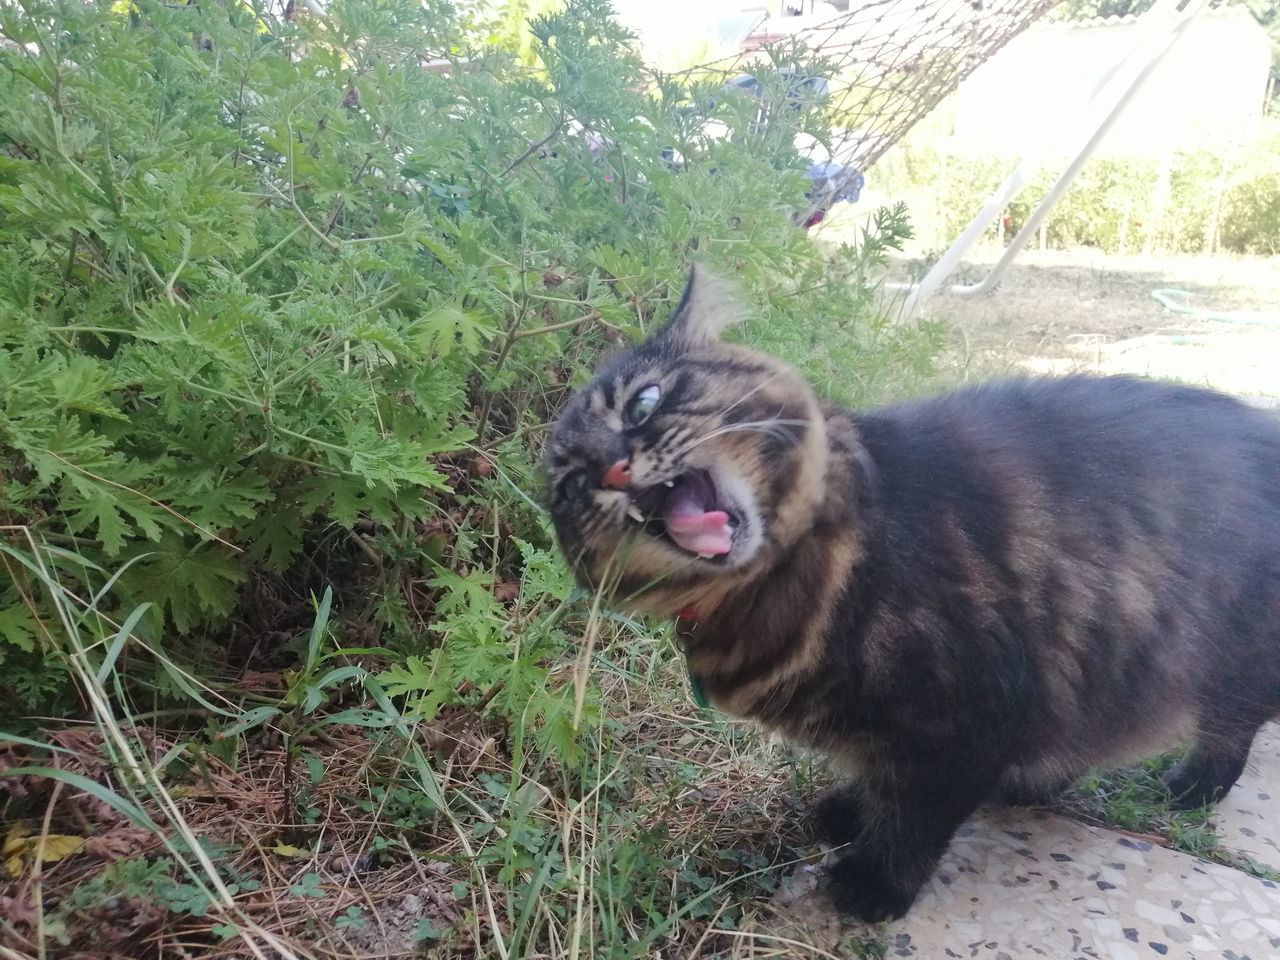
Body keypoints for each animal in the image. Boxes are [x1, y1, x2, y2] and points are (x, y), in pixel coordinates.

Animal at [540, 267, 1280, 926]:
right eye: (573, 489)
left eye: (643, 403)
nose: (612, 471)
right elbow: (881, 786)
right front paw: (848, 812)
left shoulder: (965, 720)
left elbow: (916, 821)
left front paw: (875, 885)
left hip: (1210, 663)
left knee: (1230, 728)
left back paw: (1189, 787)